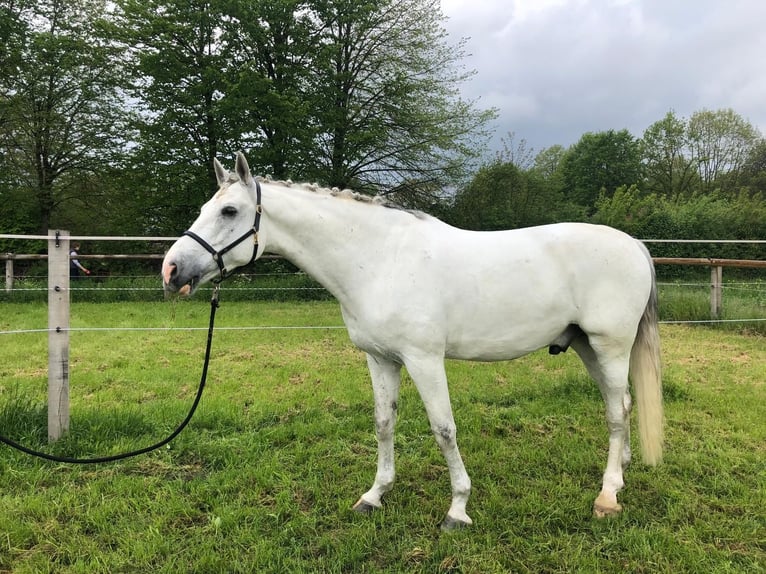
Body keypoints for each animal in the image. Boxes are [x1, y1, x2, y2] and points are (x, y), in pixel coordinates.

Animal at [164, 153, 664, 532]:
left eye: (229, 212)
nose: (171, 270)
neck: (379, 259)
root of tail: (635, 245)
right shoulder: (380, 359)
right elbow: (384, 423)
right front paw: (374, 495)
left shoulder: (424, 359)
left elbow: (444, 429)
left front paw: (458, 509)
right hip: (586, 346)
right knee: (622, 405)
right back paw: (621, 474)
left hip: (610, 346)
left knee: (615, 414)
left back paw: (607, 496)